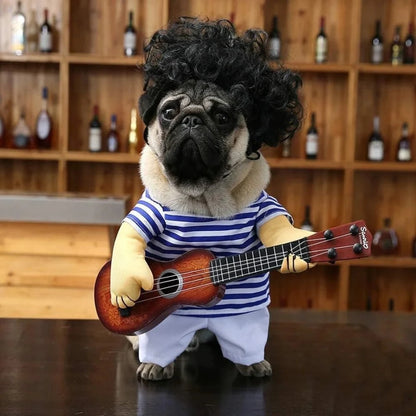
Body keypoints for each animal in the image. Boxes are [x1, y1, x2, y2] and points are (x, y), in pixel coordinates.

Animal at [110, 17, 316, 380]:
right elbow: (131, 237)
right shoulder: (150, 209)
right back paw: (155, 359)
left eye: (222, 117)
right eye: (169, 112)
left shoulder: (262, 205)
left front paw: (295, 247)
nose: (191, 119)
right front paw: (126, 285)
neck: (203, 194)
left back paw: (249, 360)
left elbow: (276, 226)